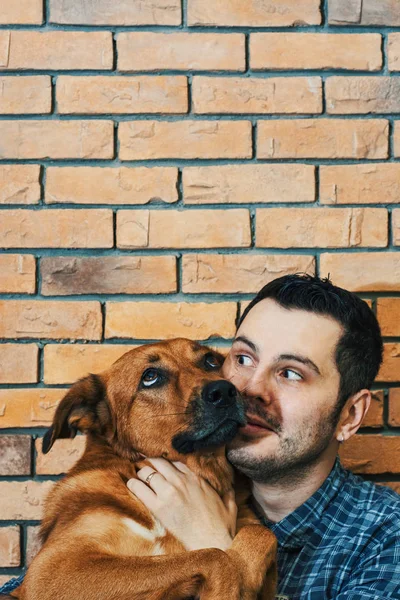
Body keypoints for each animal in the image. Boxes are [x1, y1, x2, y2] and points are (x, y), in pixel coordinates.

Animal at [6, 340, 276, 596]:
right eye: (150, 376)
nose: (225, 391)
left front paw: (246, 575)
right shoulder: (52, 570)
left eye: (210, 361)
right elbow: (215, 557)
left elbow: (261, 533)